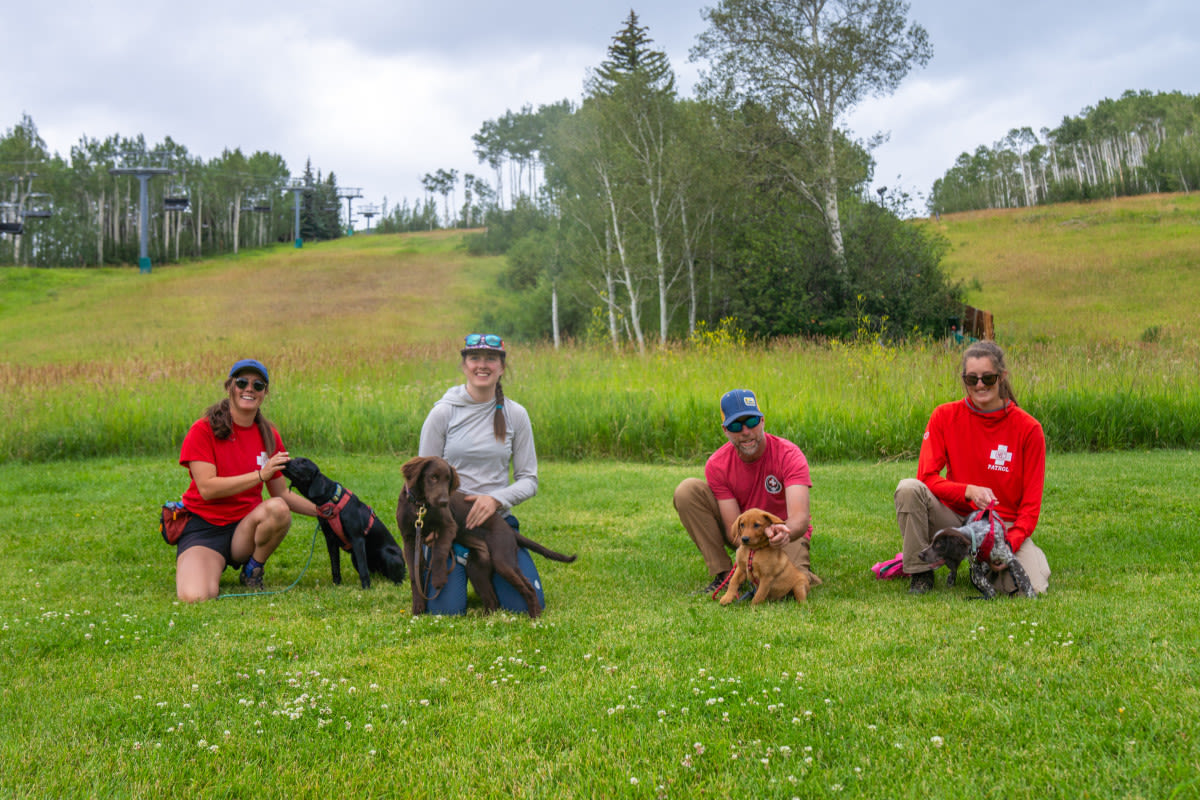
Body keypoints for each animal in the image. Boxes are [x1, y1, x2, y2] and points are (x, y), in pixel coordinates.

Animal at [280, 455, 408, 587]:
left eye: (303, 462)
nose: (285, 460)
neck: (332, 500)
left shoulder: (357, 539)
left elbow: (363, 569)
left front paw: (366, 587)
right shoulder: (330, 540)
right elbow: (335, 566)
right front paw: (336, 584)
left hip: (388, 555)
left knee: (398, 577)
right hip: (354, 558)